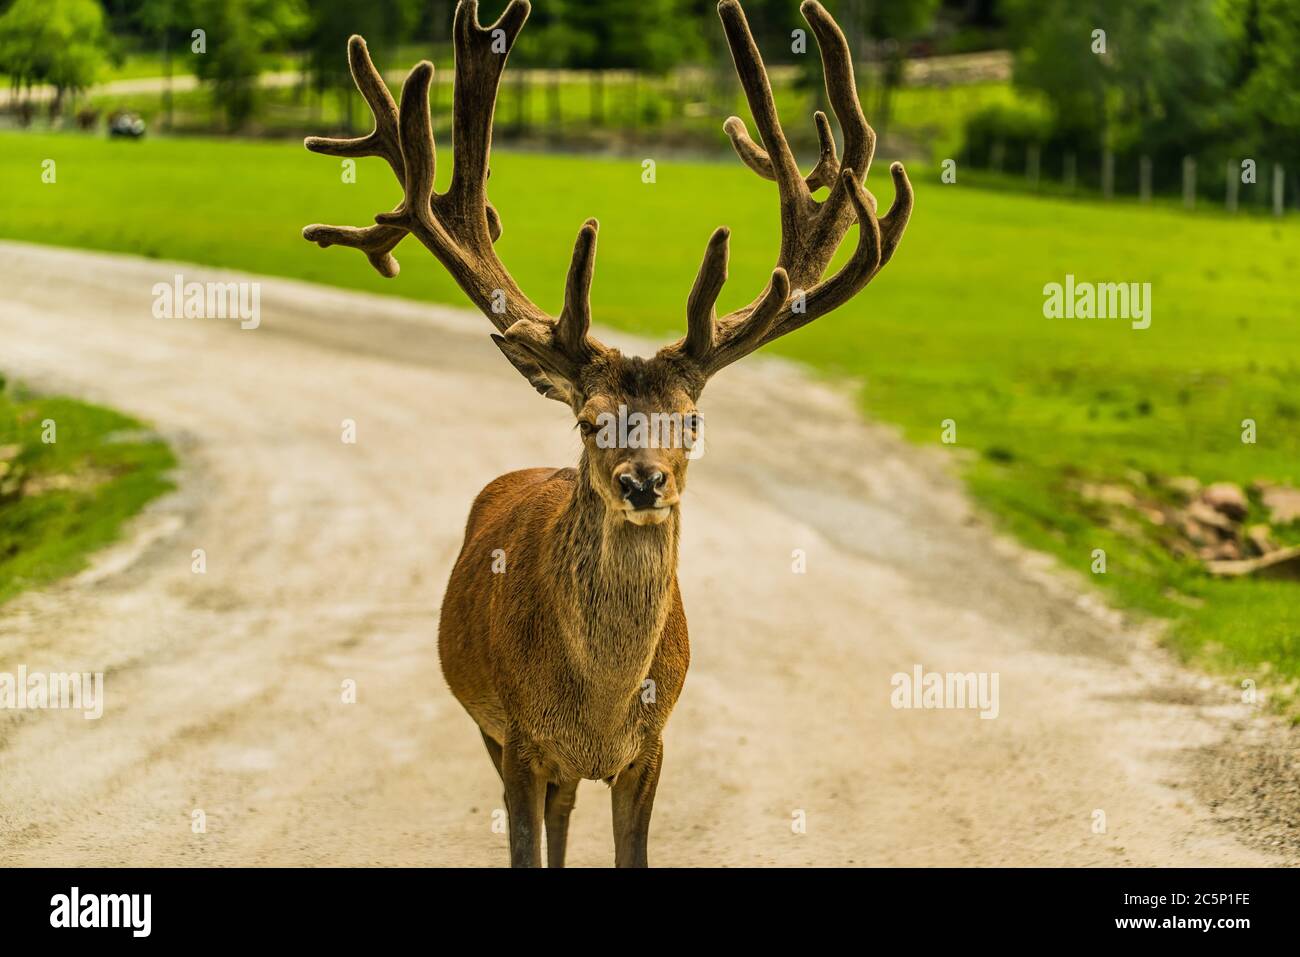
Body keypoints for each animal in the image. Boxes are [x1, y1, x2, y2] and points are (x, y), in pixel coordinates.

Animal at [304, 0, 915, 868]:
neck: (598, 710)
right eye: (589, 418)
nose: (642, 480)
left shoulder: (652, 748)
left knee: (566, 814)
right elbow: (527, 846)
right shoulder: (518, 740)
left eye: (690, 417)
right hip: (488, 724)